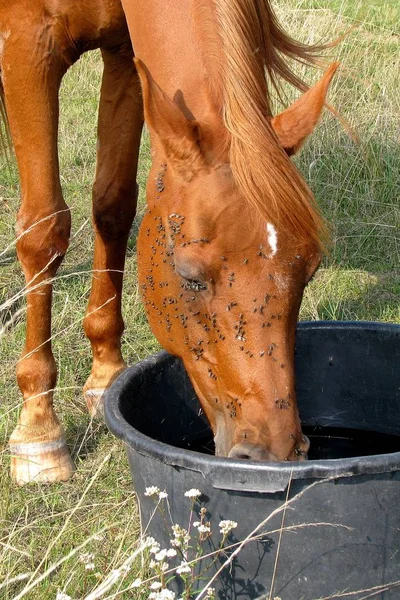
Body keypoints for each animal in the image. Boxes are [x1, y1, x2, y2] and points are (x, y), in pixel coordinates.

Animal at [2, 0, 338, 486]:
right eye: (190, 277)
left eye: (308, 272)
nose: (275, 452)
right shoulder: (28, 40)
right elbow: (44, 229)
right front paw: (38, 429)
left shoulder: (125, 53)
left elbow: (113, 204)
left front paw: (105, 374)